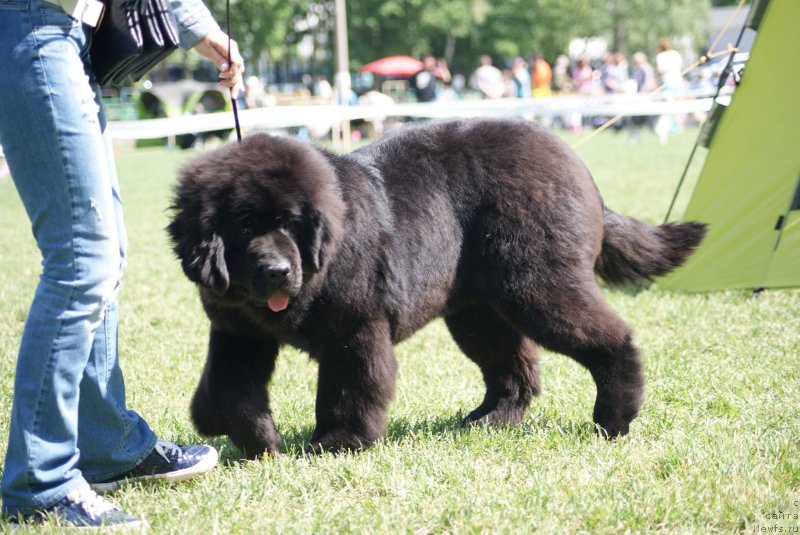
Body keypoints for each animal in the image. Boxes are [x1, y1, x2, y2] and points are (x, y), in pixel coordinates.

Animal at [169, 117, 708, 456]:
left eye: (290, 223)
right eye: (243, 227)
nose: (278, 270)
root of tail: (576, 164)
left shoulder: (356, 329)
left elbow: (350, 388)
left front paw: (338, 443)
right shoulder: (238, 333)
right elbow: (228, 390)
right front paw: (254, 438)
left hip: (538, 286)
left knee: (611, 338)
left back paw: (614, 419)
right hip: (479, 314)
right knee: (514, 368)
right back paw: (488, 421)